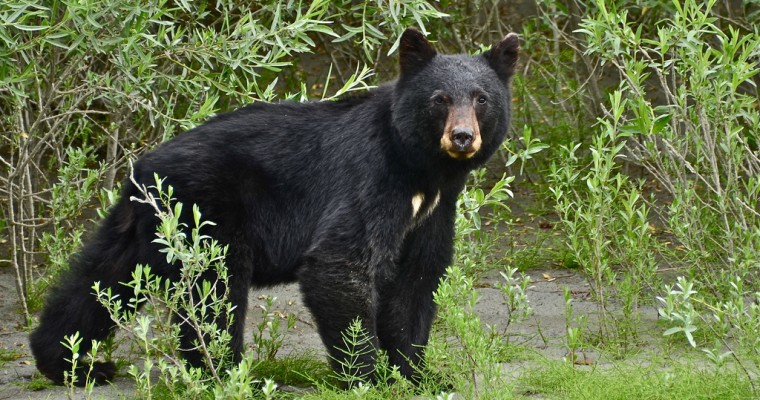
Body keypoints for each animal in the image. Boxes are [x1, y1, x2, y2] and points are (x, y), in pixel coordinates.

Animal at [28, 28, 516, 384]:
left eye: (481, 98)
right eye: (440, 99)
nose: (462, 137)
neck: (421, 168)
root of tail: (144, 168)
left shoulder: (434, 210)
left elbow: (418, 279)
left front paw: (419, 374)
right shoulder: (371, 180)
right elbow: (339, 263)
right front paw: (368, 375)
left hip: (143, 223)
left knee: (102, 278)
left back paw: (71, 362)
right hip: (207, 215)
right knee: (214, 291)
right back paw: (221, 371)